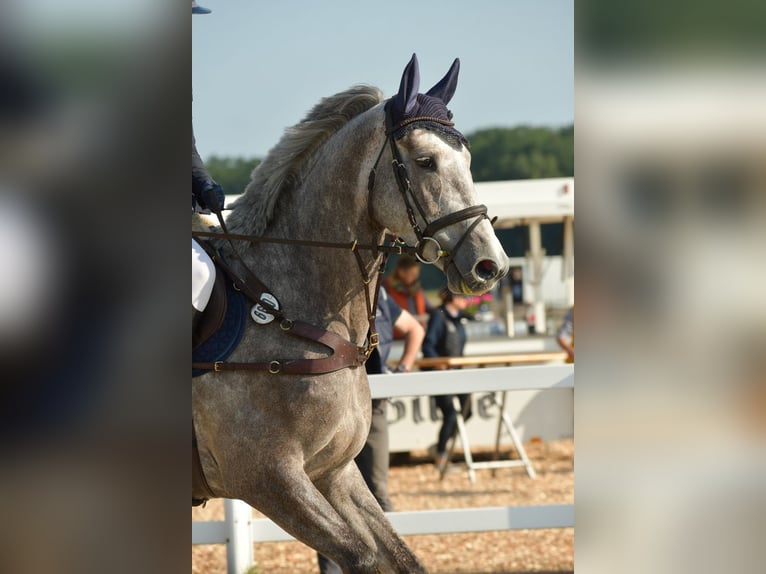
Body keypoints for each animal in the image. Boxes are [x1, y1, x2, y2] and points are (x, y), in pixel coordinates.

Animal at [194, 53, 510, 572]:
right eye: (425, 161)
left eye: (466, 160)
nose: (491, 265)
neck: (286, 310)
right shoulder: (268, 479)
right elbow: (361, 556)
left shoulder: (334, 473)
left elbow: (402, 557)